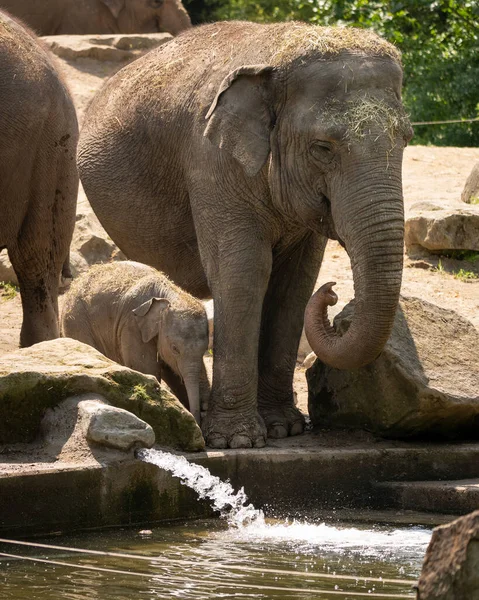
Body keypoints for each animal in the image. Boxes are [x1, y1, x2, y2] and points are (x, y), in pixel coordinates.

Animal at [79, 21, 412, 448]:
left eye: (406, 139)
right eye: (322, 147)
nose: (334, 293)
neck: (277, 56)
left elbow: (294, 282)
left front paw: (283, 428)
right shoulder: (211, 162)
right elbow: (243, 271)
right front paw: (235, 441)